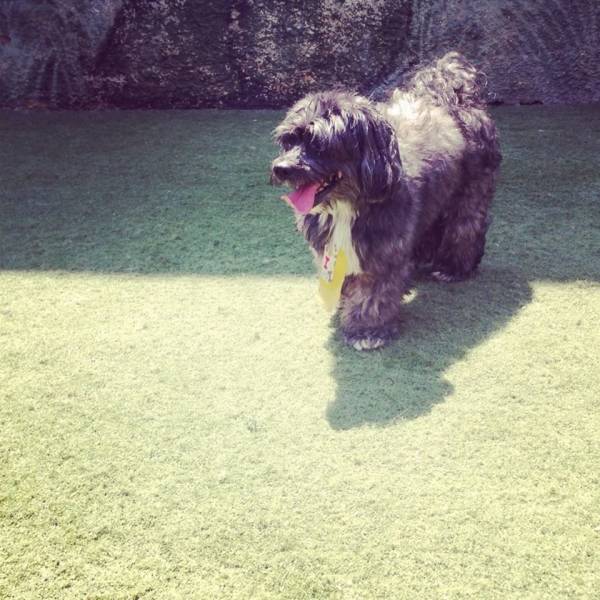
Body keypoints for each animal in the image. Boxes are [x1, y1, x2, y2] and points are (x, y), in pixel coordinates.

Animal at [272, 54, 502, 352]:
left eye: (319, 144)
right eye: (288, 140)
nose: (281, 169)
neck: (347, 204)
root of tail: (453, 98)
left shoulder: (380, 254)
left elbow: (372, 294)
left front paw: (367, 330)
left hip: (470, 194)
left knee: (465, 227)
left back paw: (453, 268)